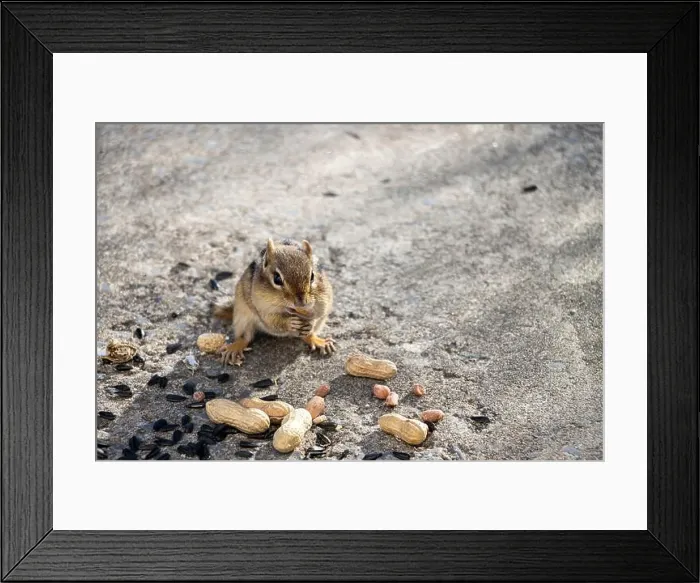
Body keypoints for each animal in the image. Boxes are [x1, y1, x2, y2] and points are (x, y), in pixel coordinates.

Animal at [213, 238, 336, 366]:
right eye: (277, 279)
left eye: (312, 276)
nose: (301, 303)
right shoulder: (263, 307)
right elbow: (272, 321)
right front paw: (289, 323)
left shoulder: (323, 302)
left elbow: (317, 314)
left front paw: (310, 323)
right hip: (242, 317)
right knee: (245, 337)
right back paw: (234, 348)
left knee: (307, 336)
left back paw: (318, 341)